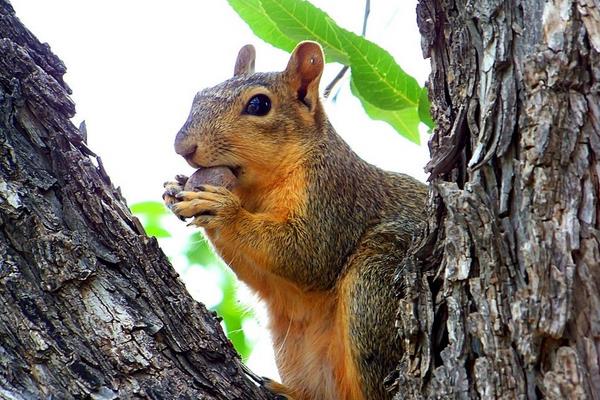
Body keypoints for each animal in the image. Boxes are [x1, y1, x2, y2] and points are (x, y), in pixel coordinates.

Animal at [162, 42, 428, 398]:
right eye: (199, 95)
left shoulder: (333, 197)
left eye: (259, 104)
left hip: (373, 282)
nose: (183, 146)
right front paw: (176, 187)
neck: (261, 188)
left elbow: (307, 256)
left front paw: (221, 208)